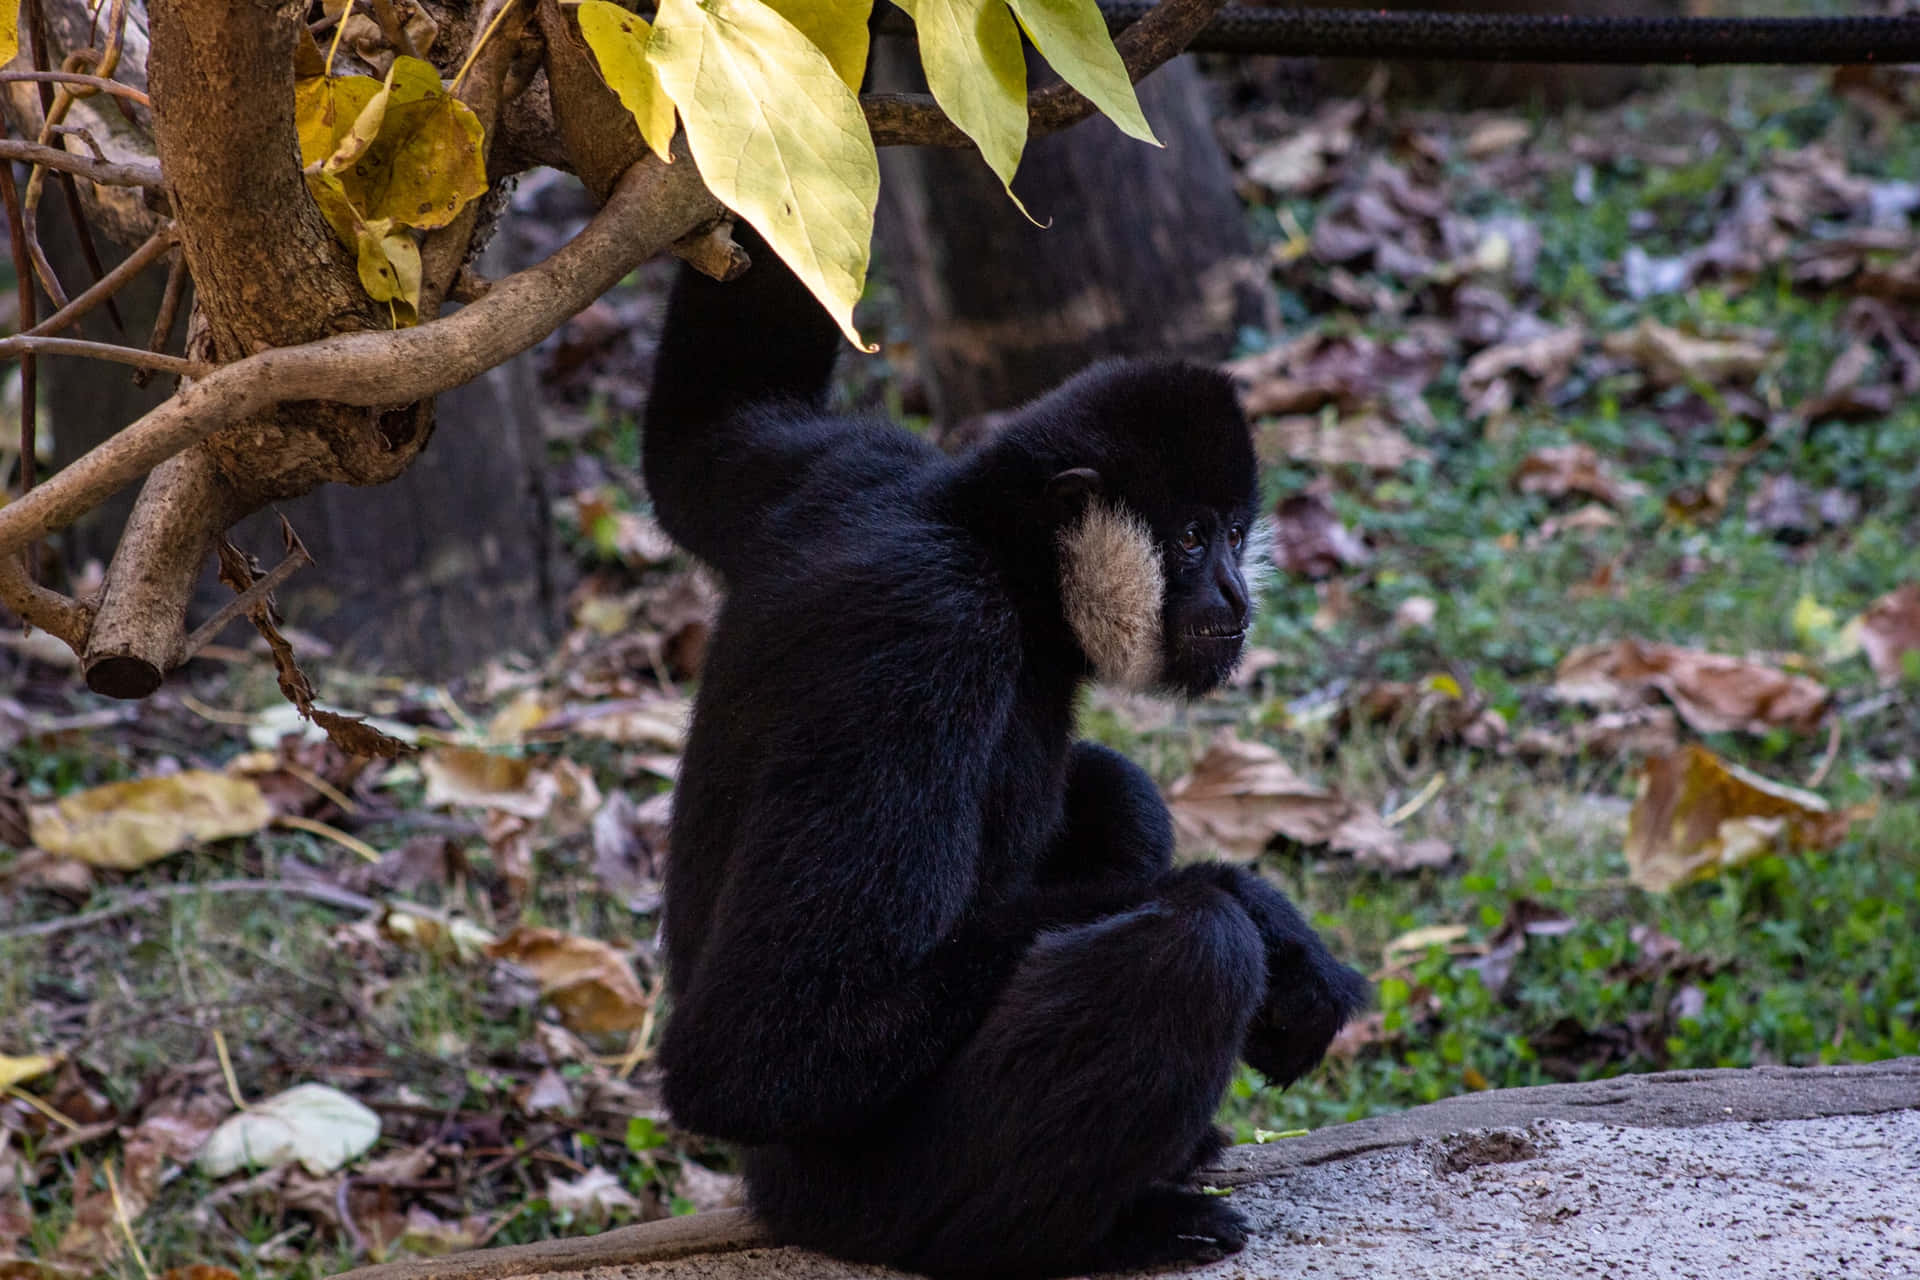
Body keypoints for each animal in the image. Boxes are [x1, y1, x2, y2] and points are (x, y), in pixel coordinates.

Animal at [642, 224, 1368, 1278]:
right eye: (1194, 539)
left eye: (1237, 534)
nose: (1235, 596)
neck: (985, 543)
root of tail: (770, 1194)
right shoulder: (932, 637)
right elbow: (766, 1047)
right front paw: (1266, 916)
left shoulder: (846, 465)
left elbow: (705, 431)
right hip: (869, 1187)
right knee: (1191, 949)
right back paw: (1112, 1229)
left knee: (1116, 786)